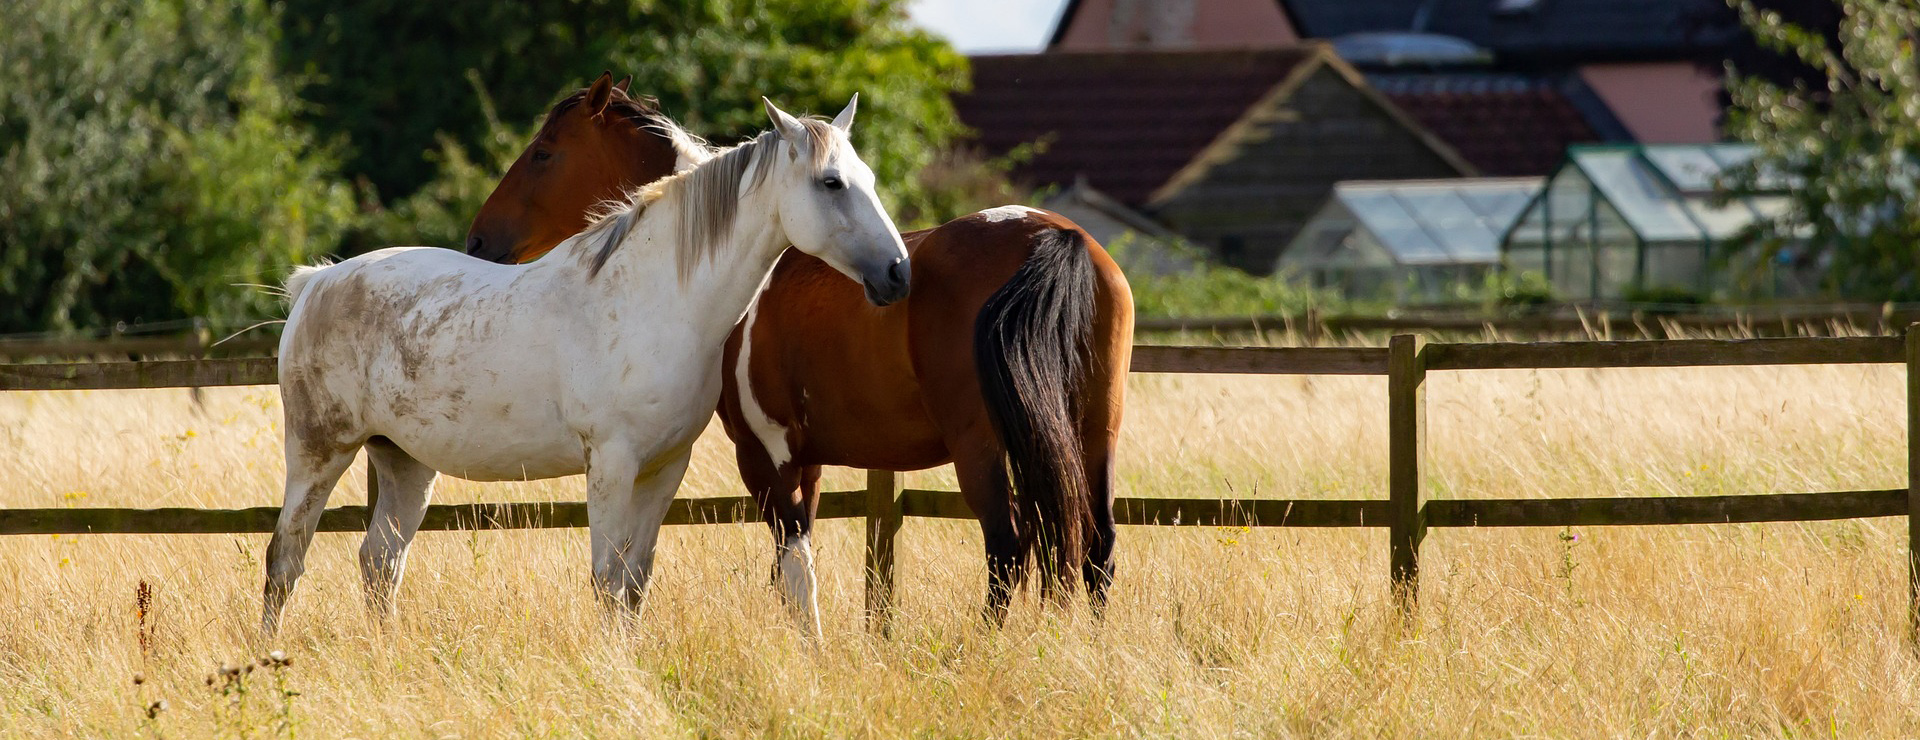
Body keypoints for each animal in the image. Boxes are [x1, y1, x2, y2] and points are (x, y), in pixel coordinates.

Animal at [261, 96, 909, 635]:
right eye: (830, 182)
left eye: (870, 180)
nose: (898, 273)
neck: (657, 299)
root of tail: (316, 283)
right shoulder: (612, 464)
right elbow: (606, 580)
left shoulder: (664, 467)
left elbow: (635, 583)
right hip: (318, 452)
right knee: (285, 557)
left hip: (404, 463)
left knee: (380, 561)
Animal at [467, 75, 1135, 628]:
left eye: (544, 153)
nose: (478, 239)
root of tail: (1055, 235)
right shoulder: (806, 461)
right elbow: (791, 570)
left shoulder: (764, 456)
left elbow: (793, 566)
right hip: (1094, 433)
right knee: (1096, 548)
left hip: (982, 446)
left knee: (1008, 549)